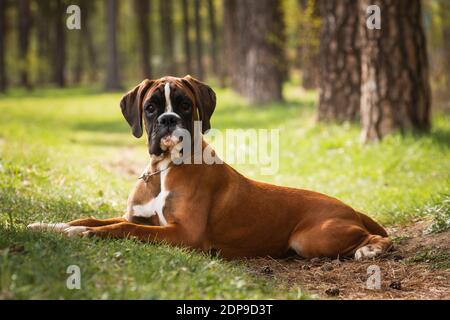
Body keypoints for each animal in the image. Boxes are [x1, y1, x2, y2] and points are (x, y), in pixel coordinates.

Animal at [29, 77, 394, 260]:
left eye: (185, 105)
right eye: (150, 108)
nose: (168, 120)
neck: (163, 169)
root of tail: (351, 209)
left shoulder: (183, 234)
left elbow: (122, 229)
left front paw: (83, 234)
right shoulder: (141, 218)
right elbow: (93, 218)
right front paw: (51, 226)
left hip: (311, 238)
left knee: (380, 238)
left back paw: (371, 249)